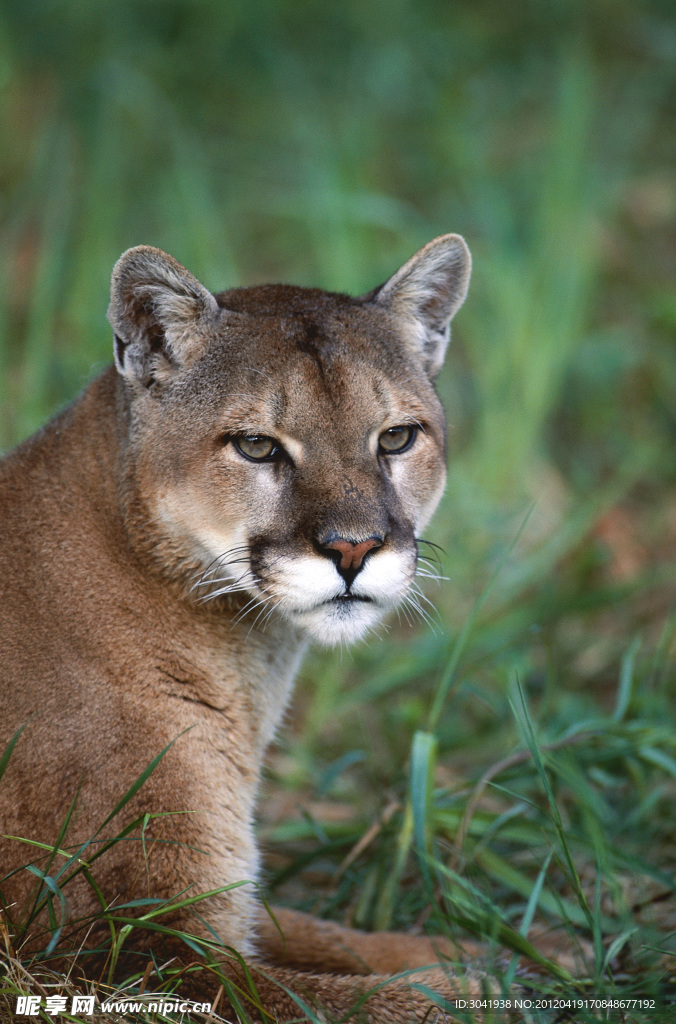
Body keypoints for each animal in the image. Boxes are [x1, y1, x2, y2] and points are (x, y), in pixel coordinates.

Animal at [1, 235, 469, 1019]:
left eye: (397, 437)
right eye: (256, 447)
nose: (354, 548)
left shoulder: (216, 912)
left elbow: (330, 937)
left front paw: (524, 950)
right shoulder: (126, 948)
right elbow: (361, 1002)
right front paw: (496, 986)